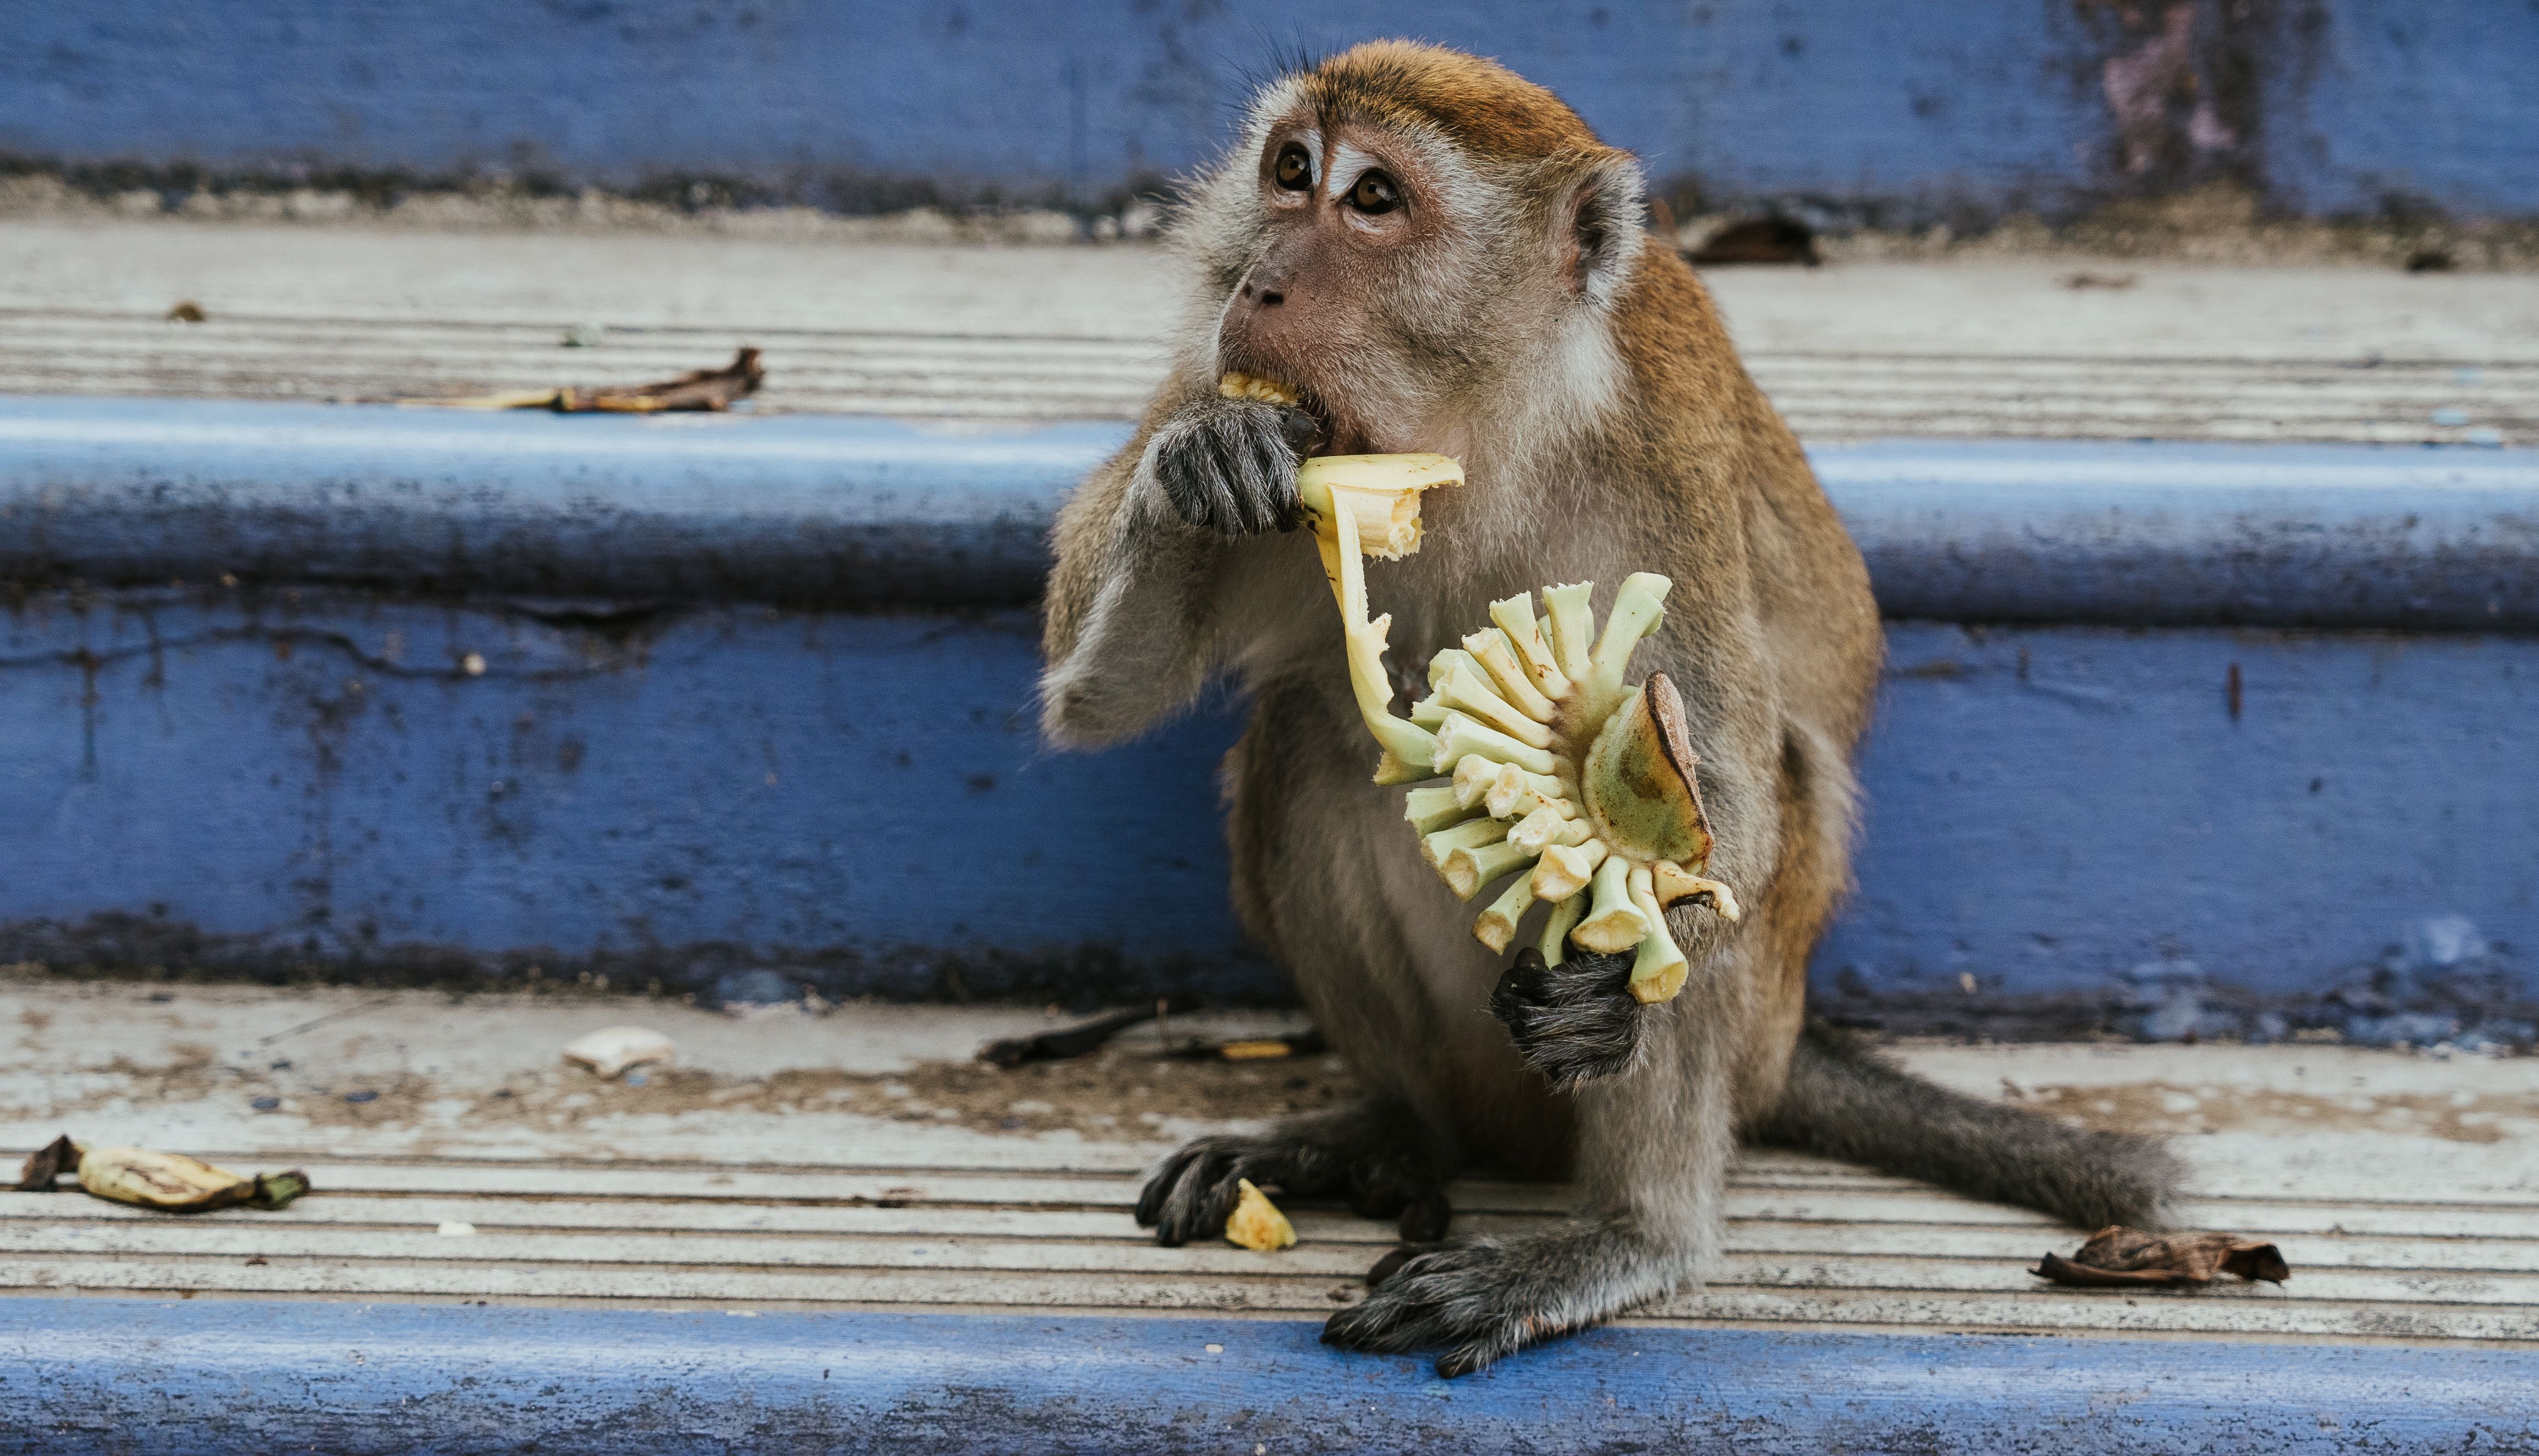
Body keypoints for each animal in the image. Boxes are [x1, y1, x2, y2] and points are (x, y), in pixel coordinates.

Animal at [1039, 41, 2181, 1377]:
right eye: (1288, 172)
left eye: (1372, 199)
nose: (1259, 284)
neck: (1476, 427)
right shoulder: (1242, 395)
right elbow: (1096, 695)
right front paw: (1203, 455)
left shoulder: (1661, 465)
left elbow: (1722, 797)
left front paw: (1622, 986)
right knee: (1309, 737)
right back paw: (1394, 1127)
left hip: (1746, 1016)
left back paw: (1629, 1236)